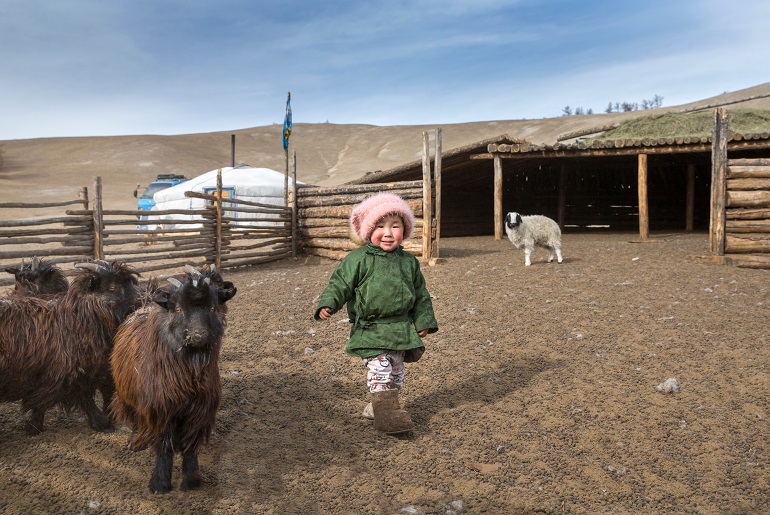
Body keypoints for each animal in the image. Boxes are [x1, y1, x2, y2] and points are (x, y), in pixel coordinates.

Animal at [0, 260, 140, 434]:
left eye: (131, 282)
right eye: (112, 287)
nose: (143, 298)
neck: (76, 320)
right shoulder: (69, 375)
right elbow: (83, 398)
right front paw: (102, 423)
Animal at [108, 264, 234, 494]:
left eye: (213, 308)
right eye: (178, 309)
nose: (199, 335)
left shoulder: (199, 409)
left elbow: (190, 444)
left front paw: (192, 480)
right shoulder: (162, 406)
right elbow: (164, 445)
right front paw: (160, 483)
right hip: (130, 395)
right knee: (137, 418)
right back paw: (135, 443)